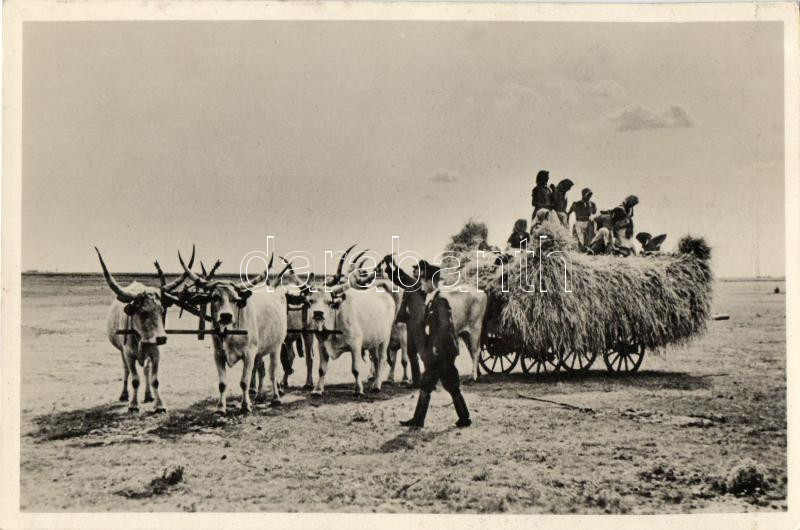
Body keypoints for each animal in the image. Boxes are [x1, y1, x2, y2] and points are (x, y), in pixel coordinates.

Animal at [97, 247, 190, 413]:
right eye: (143, 312)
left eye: (162, 310)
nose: (162, 338)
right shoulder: (128, 354)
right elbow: (134, 379)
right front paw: (133, 405)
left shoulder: (156, 353)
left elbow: (154, 379)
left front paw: (159, 404)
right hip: (122, 352)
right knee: (126, 371)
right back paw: (124, 395)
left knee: (146, 370)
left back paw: (148, 395)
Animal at [179, 252, 298, 413]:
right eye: (214, 297)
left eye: (234, 299)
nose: (226, 316)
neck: (229, 333)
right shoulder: (218, 354)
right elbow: (222, 384)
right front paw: (221, 407)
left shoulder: (249, 354)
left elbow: (244, 381)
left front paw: (245, 406)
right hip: (259, 350)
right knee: (261, 370)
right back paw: (259, 396)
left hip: (276, 346)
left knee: (273, 372)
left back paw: (275, 398)